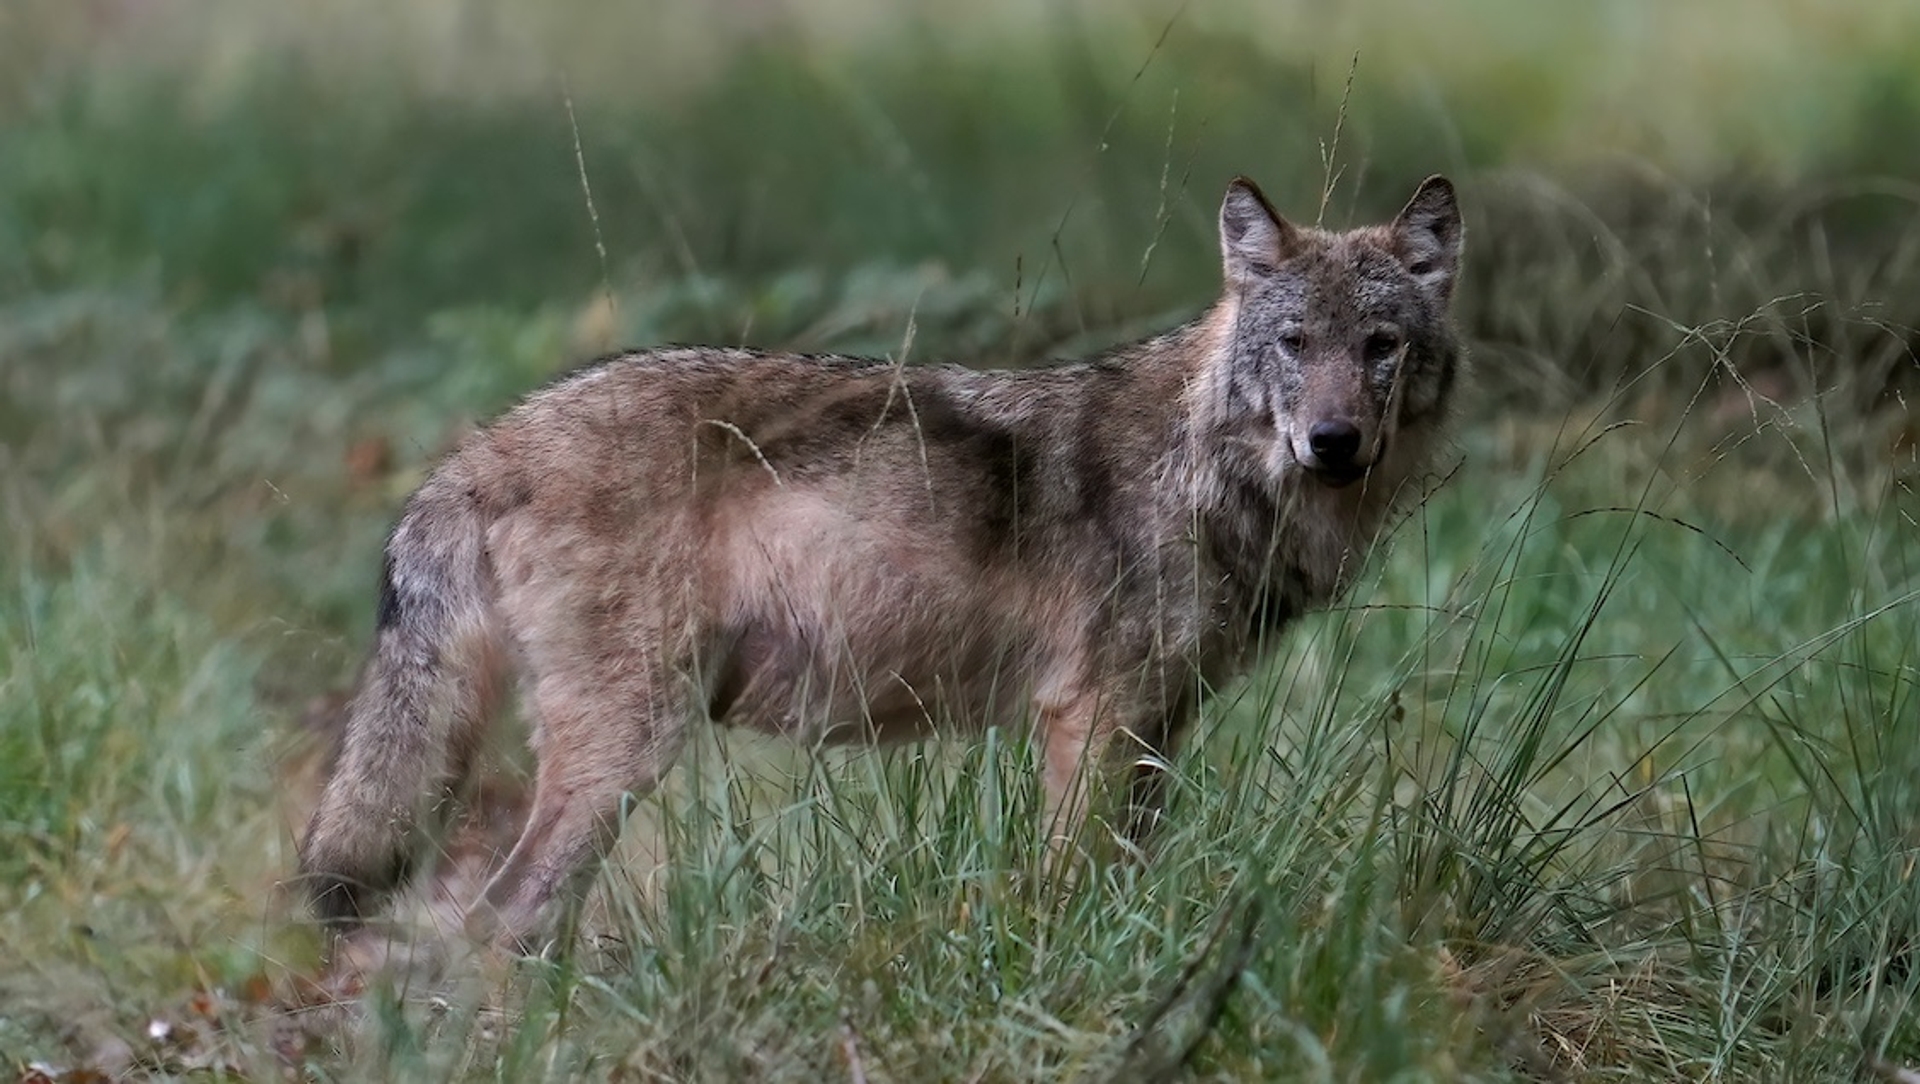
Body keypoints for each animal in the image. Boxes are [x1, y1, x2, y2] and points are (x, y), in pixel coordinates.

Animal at [303, 170, 1466, 947]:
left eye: (1380, 346)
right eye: (1294, 345)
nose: (1333, 443)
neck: (1208, 470)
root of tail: (483, 443)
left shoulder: (1157, 729)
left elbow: (1125, 880)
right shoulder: (1090, 719)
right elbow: (1069, 890)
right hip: (626, 749)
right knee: (501, 919)